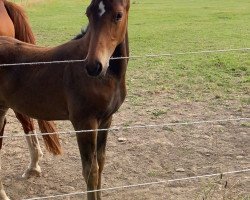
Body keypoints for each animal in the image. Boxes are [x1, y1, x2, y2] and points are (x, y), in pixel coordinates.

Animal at [0, 0, 131, 199]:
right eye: (88, 13)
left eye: (118, 15)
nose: (93, 66)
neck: (108, 77)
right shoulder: (84, 123)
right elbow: (90, 171)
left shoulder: (106, 120)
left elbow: (100, 164)